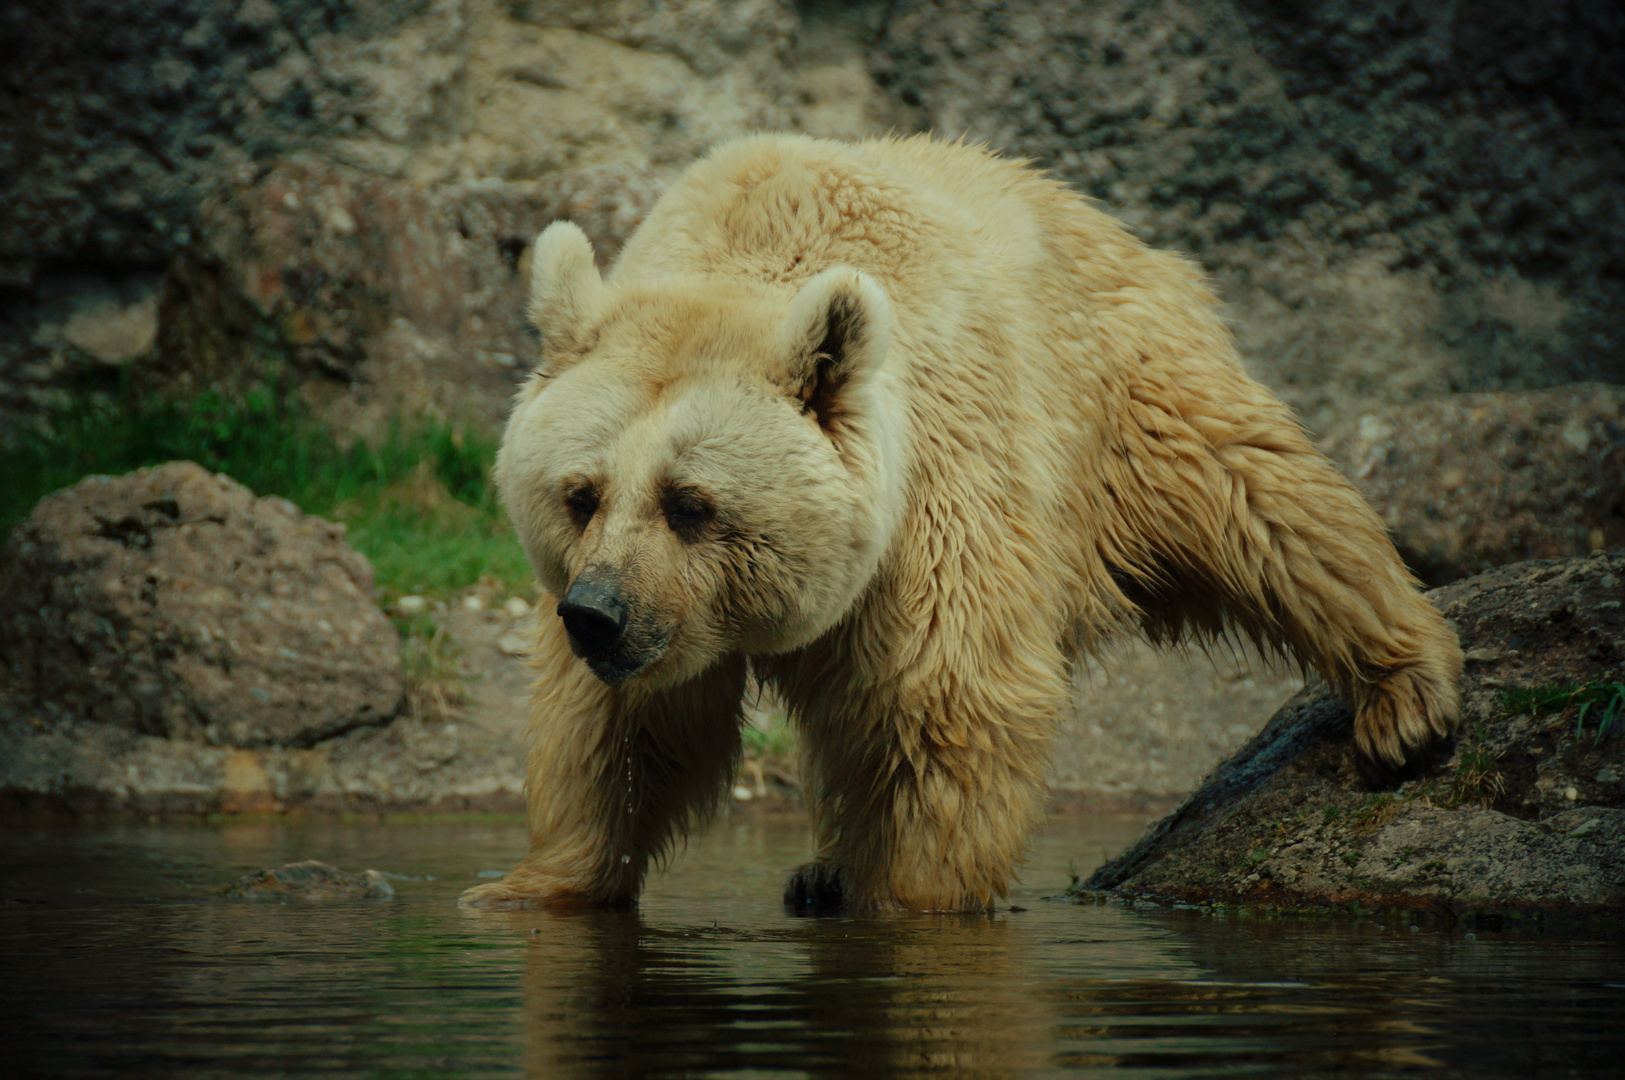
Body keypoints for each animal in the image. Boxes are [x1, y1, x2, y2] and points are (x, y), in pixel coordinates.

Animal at [461, 132, 1462, 909]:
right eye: (580, 493)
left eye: (690, 502)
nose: (598, 614)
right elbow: (615, 730)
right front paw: (527, 885)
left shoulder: (935, 495)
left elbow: (944, 700)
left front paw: (912, 891)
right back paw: (822, 870)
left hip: (1124, 399)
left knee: (1263, 502)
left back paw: (1404, 696)